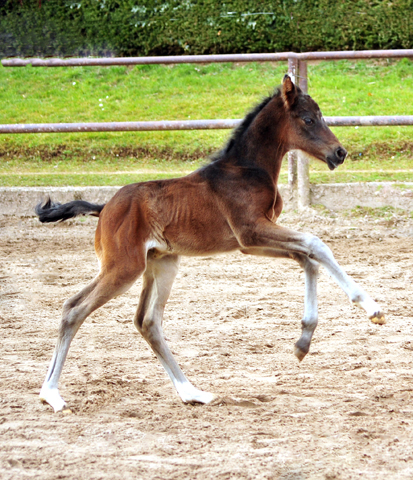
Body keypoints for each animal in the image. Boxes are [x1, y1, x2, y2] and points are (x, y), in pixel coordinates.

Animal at [35, 76, 384, 412]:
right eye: (309, 119)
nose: (339, 153)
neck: (245, 169)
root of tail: (105, 206)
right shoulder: (252, 230)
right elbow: (316, 245)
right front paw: (371, 307)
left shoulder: (251, 241)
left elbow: (308, 259)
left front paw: (303, 341)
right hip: (123, 268)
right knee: (74, 309)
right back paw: (51, 395)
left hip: (162, 264)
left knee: (147, 322)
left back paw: (192, 393)